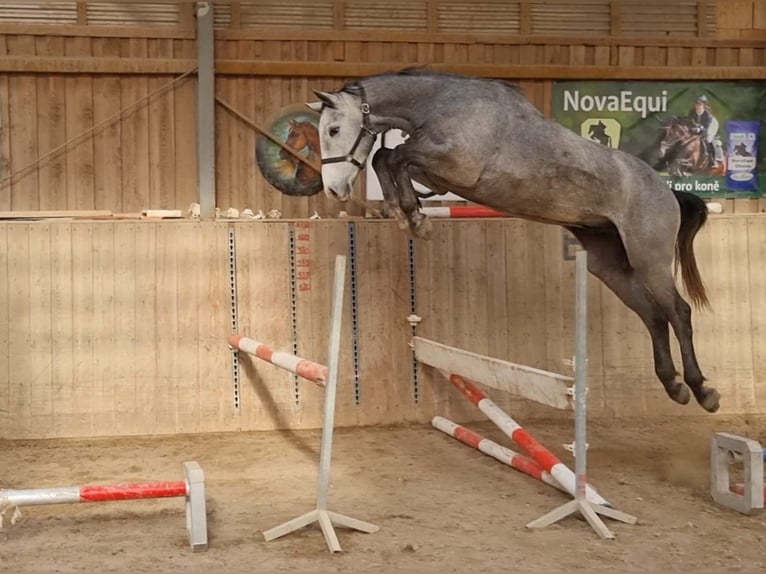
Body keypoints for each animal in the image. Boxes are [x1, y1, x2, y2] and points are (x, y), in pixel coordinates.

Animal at [306, 68, 719, 413]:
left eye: (333, 130)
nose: (334, 189)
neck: (440, 105)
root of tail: (667, 191)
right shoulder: (437, 175)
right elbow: (387, 157)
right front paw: (404, 212)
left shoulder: (455, 167)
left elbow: (394, 156)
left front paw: (414, 217)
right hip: (609, 264)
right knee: (652, 316)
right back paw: (673, 386)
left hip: (650, 259)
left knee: (678, 312)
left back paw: (702, 390)